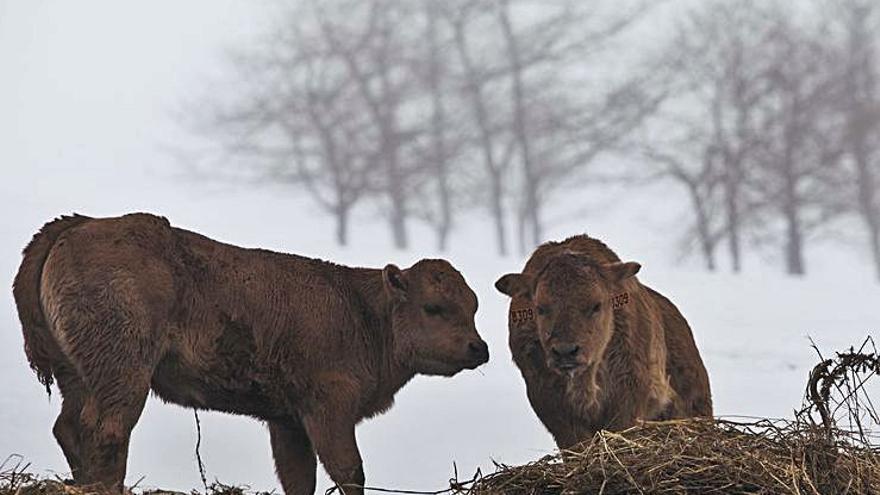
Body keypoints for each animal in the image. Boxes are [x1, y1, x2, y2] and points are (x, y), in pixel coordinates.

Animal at [13, 213, 492, 495]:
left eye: (473, 305)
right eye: (434, 307)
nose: (479, 347)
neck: (360, 310)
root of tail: (79, 225)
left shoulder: (288, 421)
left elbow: (300, 478)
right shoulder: (327, 410)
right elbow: (349, 471)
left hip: (77, 376)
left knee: (68, 427)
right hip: (124, 376)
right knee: (107, 430)